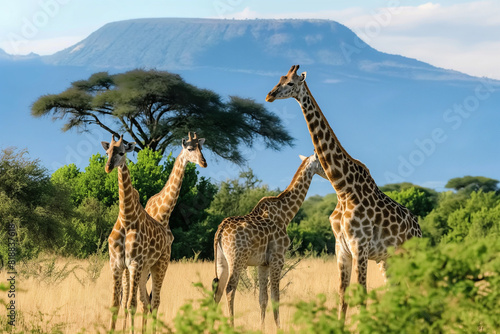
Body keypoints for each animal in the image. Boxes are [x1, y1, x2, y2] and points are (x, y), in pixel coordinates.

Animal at [103, 135, 170, 334]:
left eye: (121, 152)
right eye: (107, 152)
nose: (108, 167)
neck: (126, 218)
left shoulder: (134, 263)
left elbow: (131, 304)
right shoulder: (116, 264)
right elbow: (116, 304)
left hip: (160, 265)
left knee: (155, 301)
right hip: (145, 269)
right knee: (146, 301)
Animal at [212, 154, 326, 332]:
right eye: (321, 160)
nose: (329, 173)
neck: (286, 215)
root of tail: (220, 230)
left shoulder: (263, 264)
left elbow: (262, 298)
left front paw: (262, 327)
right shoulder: (277, 259)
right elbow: (275, 297)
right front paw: (279, 327)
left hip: (221, 261)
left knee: (218, 290)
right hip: (237, 259)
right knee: (230, 289)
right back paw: (231, 325)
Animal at [266, 64, 422, 318]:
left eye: (290, 83)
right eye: (279, 79)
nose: (269, 95)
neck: (343, 188)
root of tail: (419, 227)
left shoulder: (361, 246)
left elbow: (362, 294)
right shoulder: (341, 248)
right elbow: (342, 295)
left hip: (409, 255)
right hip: (388, 260)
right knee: (398, 291)